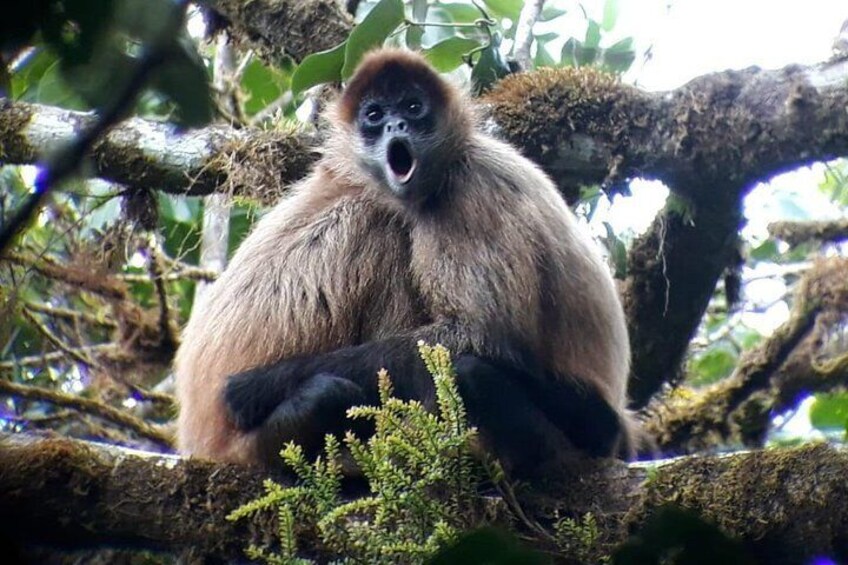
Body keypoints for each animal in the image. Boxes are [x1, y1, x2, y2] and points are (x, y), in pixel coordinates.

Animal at [174, 48, 636, 476]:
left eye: (414, 108)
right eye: (374, 116)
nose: (396, 127)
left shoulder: (470, 188)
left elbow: (482, 333)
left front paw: (259, 384)